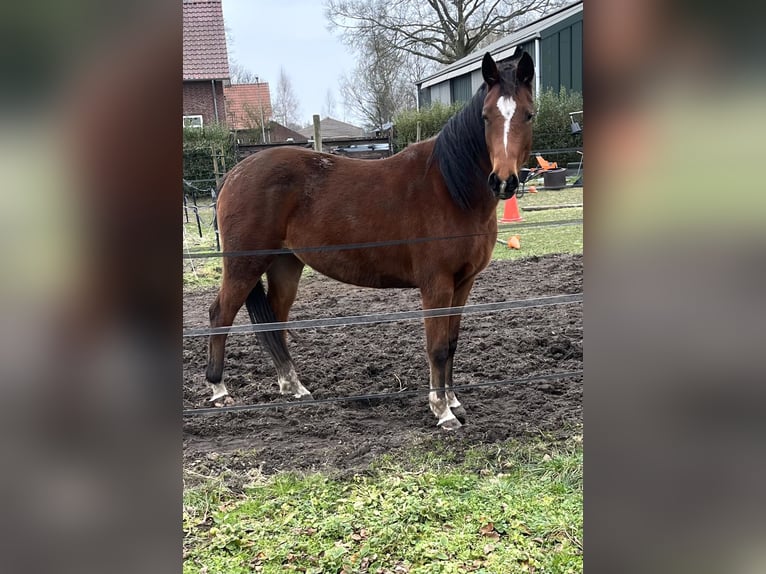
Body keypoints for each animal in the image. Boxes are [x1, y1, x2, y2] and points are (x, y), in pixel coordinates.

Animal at [207, 49, 536, 430]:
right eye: (485, 116)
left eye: (528, 114)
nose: (503, 181)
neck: (451, 188)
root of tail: (234, 173)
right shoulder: (436, 284)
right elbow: (437, 346)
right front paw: (442, 411)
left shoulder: (463, 283)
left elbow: (452, 342)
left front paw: (455, 401)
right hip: (244, 264)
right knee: (220, 315)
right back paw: (219, 390)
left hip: (285, 265)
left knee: (275, 319)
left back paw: (294, 387)